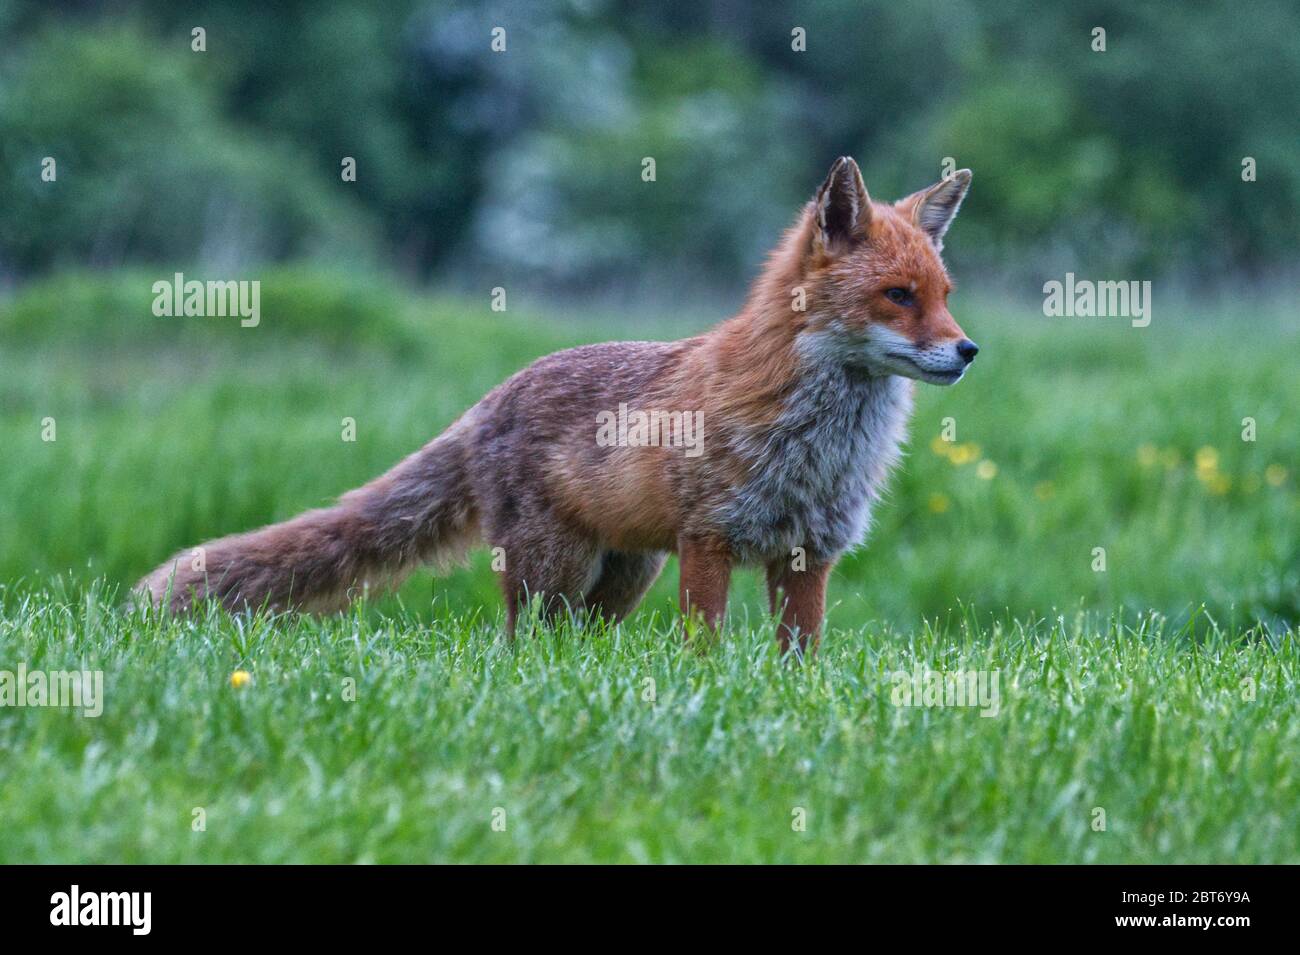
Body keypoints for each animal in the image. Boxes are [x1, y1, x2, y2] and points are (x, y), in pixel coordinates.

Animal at [139, 158, 977, 649]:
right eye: (897, 297)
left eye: (944, 295)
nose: (968, 351)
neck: (818, 442)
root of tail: (490, 398)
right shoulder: (710, 538)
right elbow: (703, 646)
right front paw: (707, 687)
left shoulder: (810, 550)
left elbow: (800, 658)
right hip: (557, 569)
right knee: (524, 644)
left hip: (622, 576)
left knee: (574, 646)